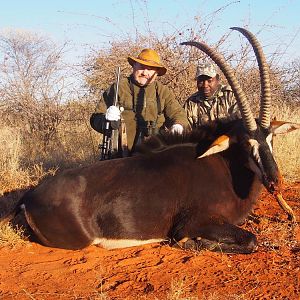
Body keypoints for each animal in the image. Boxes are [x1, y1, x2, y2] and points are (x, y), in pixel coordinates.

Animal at [1, 27, 298, 253]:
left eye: (270, 138)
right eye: (245, 142)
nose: (275, 181)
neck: (222, 165)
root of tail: (29, 196)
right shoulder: (195, 221)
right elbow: (250, 240)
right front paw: (191, 243)